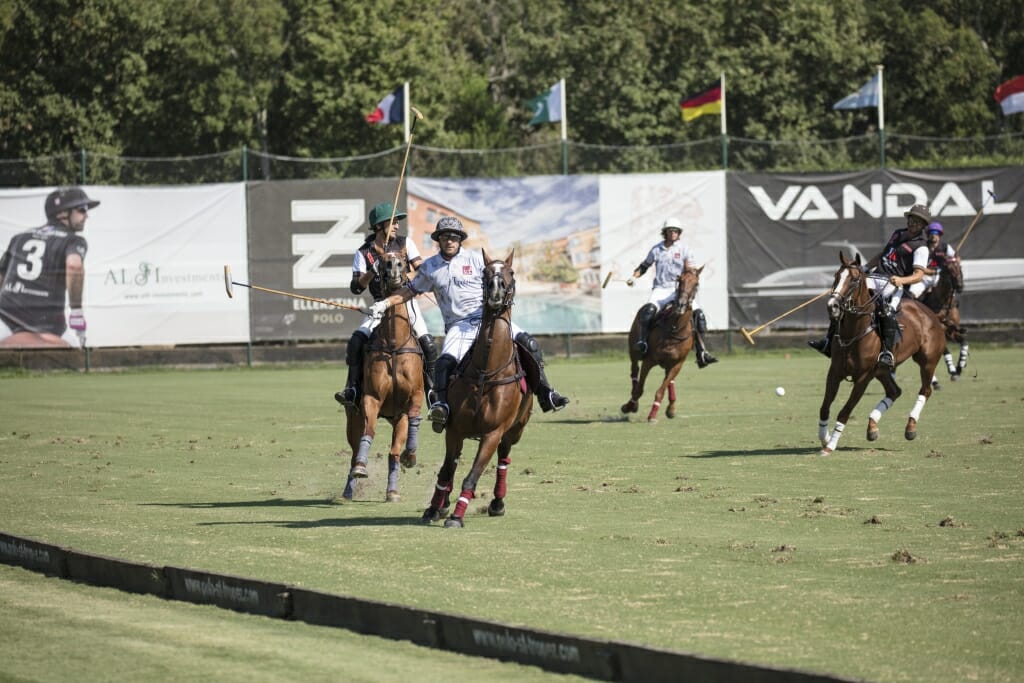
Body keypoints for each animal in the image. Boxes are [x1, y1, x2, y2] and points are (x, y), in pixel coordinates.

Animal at [344, 249, 423, 501]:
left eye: (403, 261)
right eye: (382, 261)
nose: (393, 269)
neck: (394, 344)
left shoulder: (413, 397)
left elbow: (413, 415)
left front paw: (411, 454)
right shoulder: (372, 398)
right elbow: (368, 432)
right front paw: (361, 468)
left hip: (397, 417)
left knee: (393, 452)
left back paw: (393, 488)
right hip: (352, 417)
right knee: (354, 449)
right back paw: (349, 488)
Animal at [421, 249, 536, 528]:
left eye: (511, 272)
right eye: (485, 273)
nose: (495, 292)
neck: (486, 371)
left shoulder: (493, 433)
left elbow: (472, 476)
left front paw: (456, 516)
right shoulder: (455, 430)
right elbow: (446, 471)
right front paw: (434, 509)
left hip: (515, 429)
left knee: (504, 459)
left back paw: (497, 503)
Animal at [614, 266, 704, 421]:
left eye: (696, 284)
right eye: (679, 280)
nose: (681, 304)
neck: (675, 328)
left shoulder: (677, 364)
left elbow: (661, 390)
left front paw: (654, 414)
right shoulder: (649, 361)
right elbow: (639, 389)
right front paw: (629, 406)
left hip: (668, 364)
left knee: (669, 382)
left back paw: (671, 408)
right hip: (634, 350)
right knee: (634, 371)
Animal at [819, 253, 946, 456]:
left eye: (854, 280)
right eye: (836, 276)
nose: (833, 306)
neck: (854, 332)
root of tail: (930, 313)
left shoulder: (863, 378)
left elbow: (845, 412)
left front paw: (830, 445)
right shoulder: (835, 372)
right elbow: (824, 407)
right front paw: (824, 437)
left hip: (927, 361)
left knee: (925, 390)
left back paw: (910, 427)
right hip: (882, 370)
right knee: (895, 391)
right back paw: (872, 426)